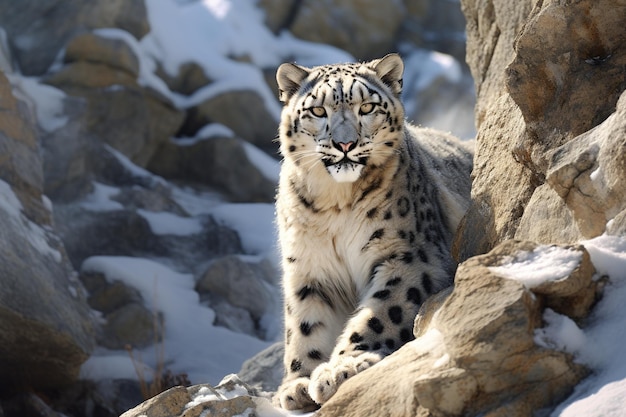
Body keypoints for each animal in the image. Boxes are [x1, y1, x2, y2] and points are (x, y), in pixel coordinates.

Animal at [274, 52, 472, 410]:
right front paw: (297, 384)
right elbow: (304, 324)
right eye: (318, 111)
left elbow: (379, 312)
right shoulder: (309, 269)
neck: (335, 203)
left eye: (366, 107)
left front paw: (341, 368)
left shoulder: (407, 256)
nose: (345, 143)